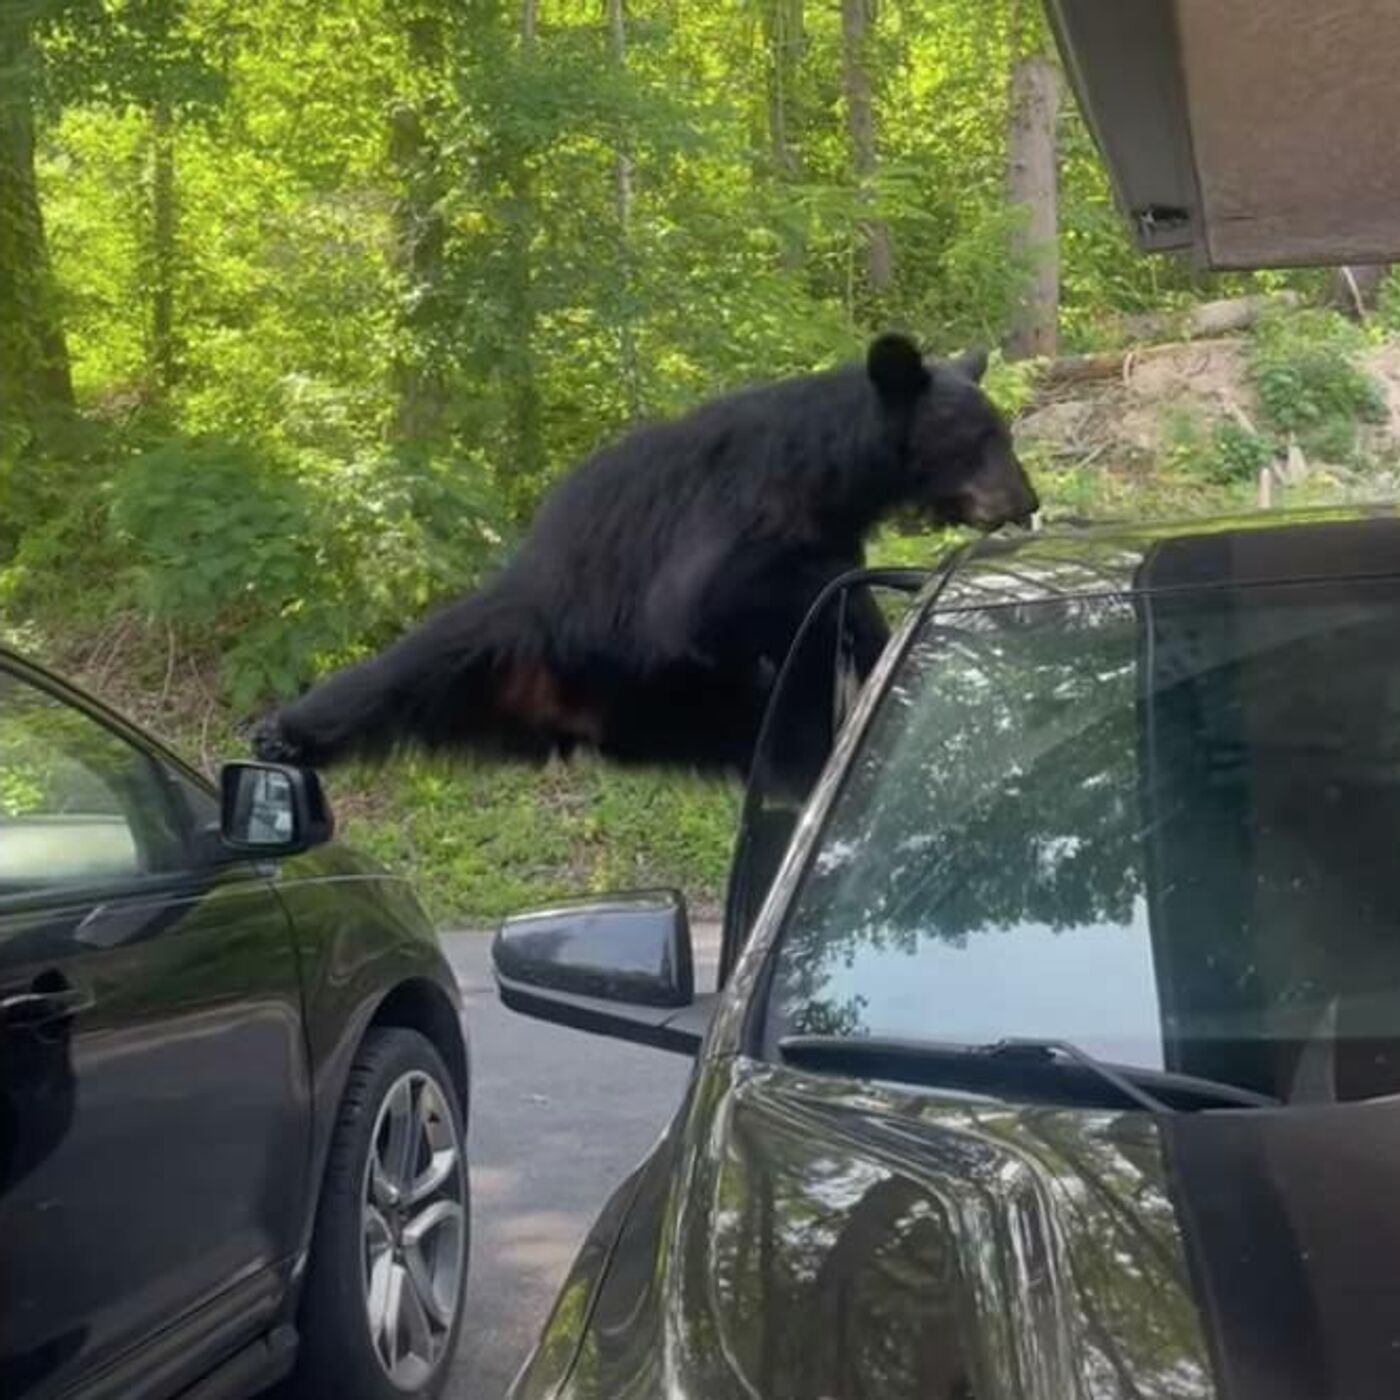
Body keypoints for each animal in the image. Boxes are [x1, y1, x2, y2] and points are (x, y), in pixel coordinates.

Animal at [254, 333, 1041, 778]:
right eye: (979, 438)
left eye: (1000, 433)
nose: (1025, 499)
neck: (833, 477)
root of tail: (573, 713)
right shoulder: (733, 517)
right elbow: (714, 597)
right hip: (506, 632)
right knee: (387, 678)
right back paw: (284, 735)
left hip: (692, 714)